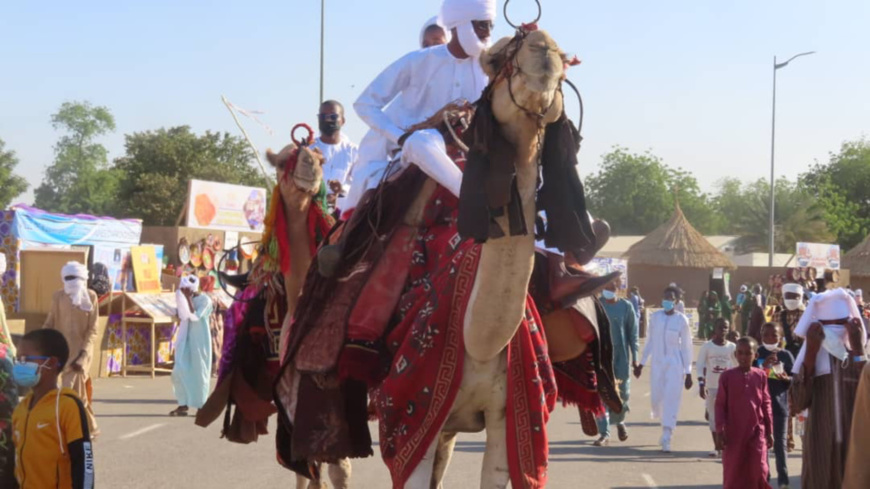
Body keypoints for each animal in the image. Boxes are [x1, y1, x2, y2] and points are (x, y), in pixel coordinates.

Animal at [274, 27, 620, 488]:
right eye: (498, 57)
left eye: (564, 60)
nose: (541, 48)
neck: (480, 338)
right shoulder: (408, 411)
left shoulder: (510, 413)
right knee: (320, 462)